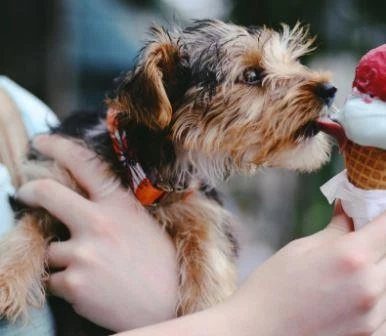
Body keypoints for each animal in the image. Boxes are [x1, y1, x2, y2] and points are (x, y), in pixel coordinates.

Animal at [0, 19, 336, 326]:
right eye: (252, 75)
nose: (330, 89)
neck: (142, 166)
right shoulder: (51, 178)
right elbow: (29, 227)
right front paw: (8, 279)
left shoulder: (200, 207)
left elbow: (208, 250)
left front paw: (206, 306)